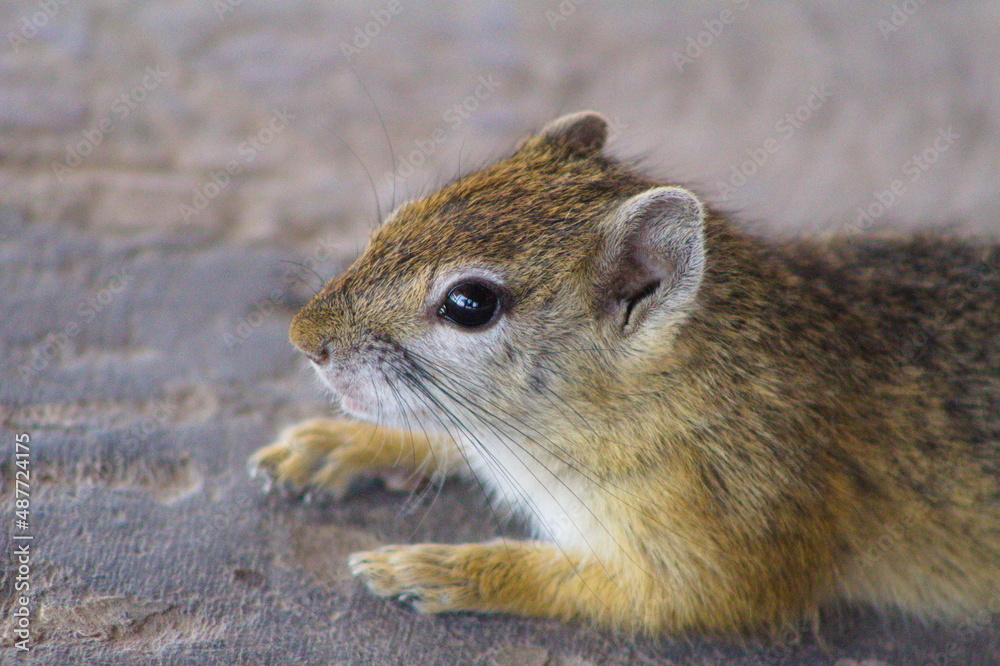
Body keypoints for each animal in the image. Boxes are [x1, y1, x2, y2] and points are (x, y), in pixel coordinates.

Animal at [250, 111, 1000, 635]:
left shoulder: (728, 548)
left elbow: (615, 590)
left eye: (470, 304)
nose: (302, 340)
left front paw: (441, 569)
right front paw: (338, 444)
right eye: (400, 218)